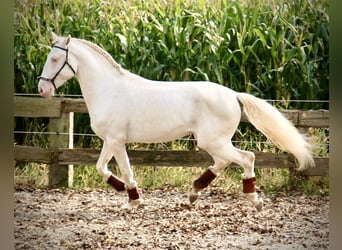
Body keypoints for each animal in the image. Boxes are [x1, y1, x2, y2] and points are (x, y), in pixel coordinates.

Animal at [38, 32, 316, 210]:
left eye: (55, 59)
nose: (42, 89)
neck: (109, 90)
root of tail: (233, 94)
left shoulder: (117, 141)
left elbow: (125, 169)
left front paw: (134, 200)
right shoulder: (111, 140)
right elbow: (101, 168)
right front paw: (121, 190)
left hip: (213, 141)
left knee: (246, 158)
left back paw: (253, 200)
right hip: (212, 142)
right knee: (224, 162)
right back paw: (193, 194)